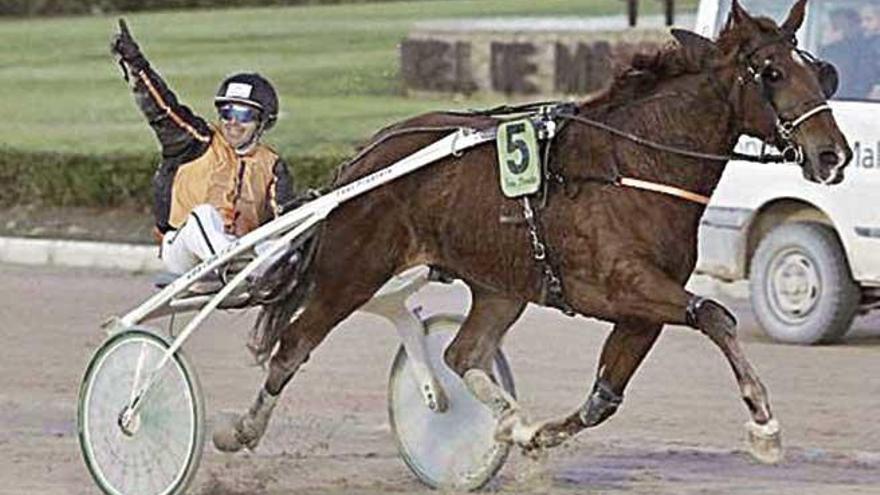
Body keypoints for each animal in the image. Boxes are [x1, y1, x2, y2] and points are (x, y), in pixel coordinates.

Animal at [215, 0, 852, 470]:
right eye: (772, 73)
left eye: (819, 71)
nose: (833, 154)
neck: (633, 165)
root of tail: (362, 160)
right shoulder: (622, 286)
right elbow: (716, 316)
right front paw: (764, 426)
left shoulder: (642, 308)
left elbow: (604, 399)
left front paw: (533, 434)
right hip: (353, 270)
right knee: (294, 344)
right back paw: (240, 430)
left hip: (501, 285)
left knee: (462, 352)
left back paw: (507, 420)